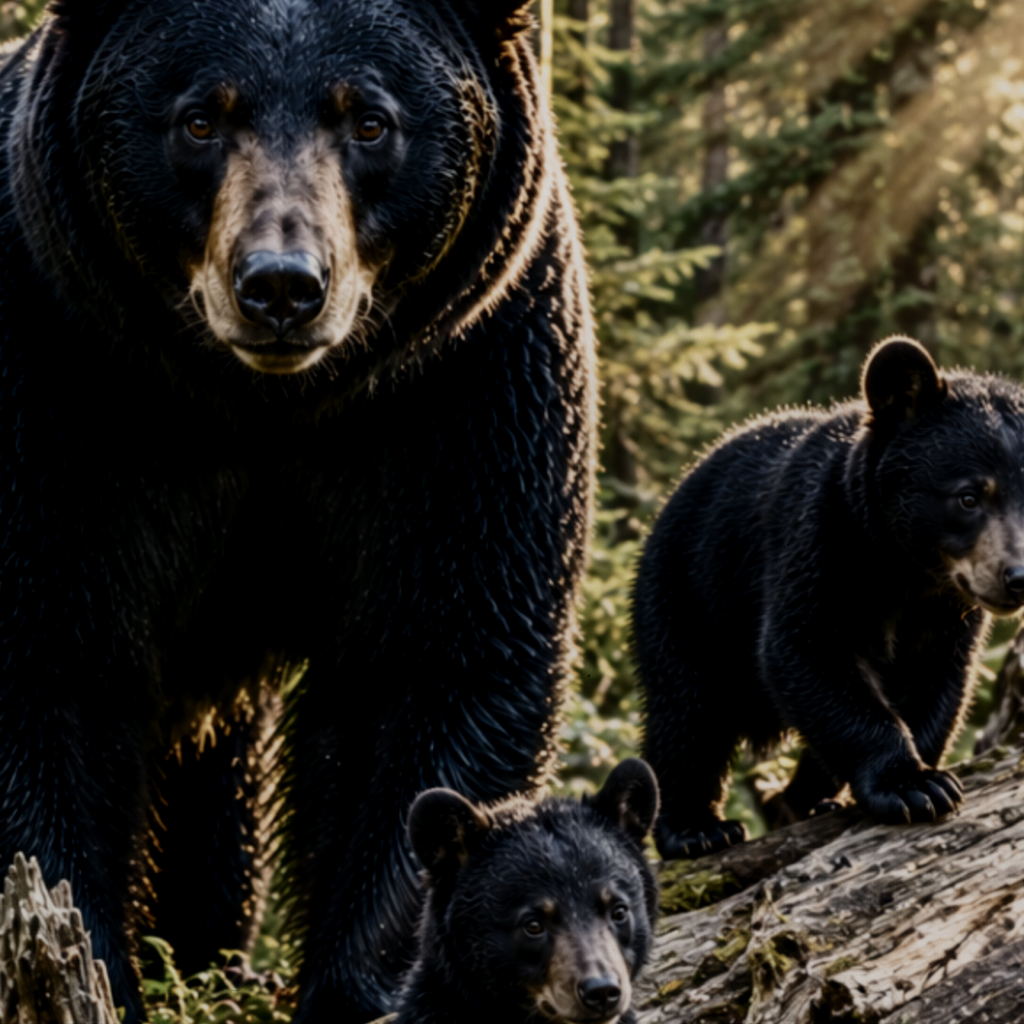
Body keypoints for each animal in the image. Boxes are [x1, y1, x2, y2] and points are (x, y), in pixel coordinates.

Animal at [0, 2, 596, 1022]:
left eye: (370, 120)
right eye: (202, 117)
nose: (281, 283)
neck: (259, 405)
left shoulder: (469, 380)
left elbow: (435, 668)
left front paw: (361, 983)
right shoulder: (58, 369)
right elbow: (49, 664)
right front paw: (91, 975)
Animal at [632, 337, 1024, 860]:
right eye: (968, 496)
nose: (1018, 577)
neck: (904, 569)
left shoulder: (946, 611)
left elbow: (934, 681)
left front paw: (919, 775)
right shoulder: (822, 547)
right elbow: (806, 650)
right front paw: (913, 785)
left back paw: (801, 801)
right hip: (688, 592)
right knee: (688, 712)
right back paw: (697, 828)